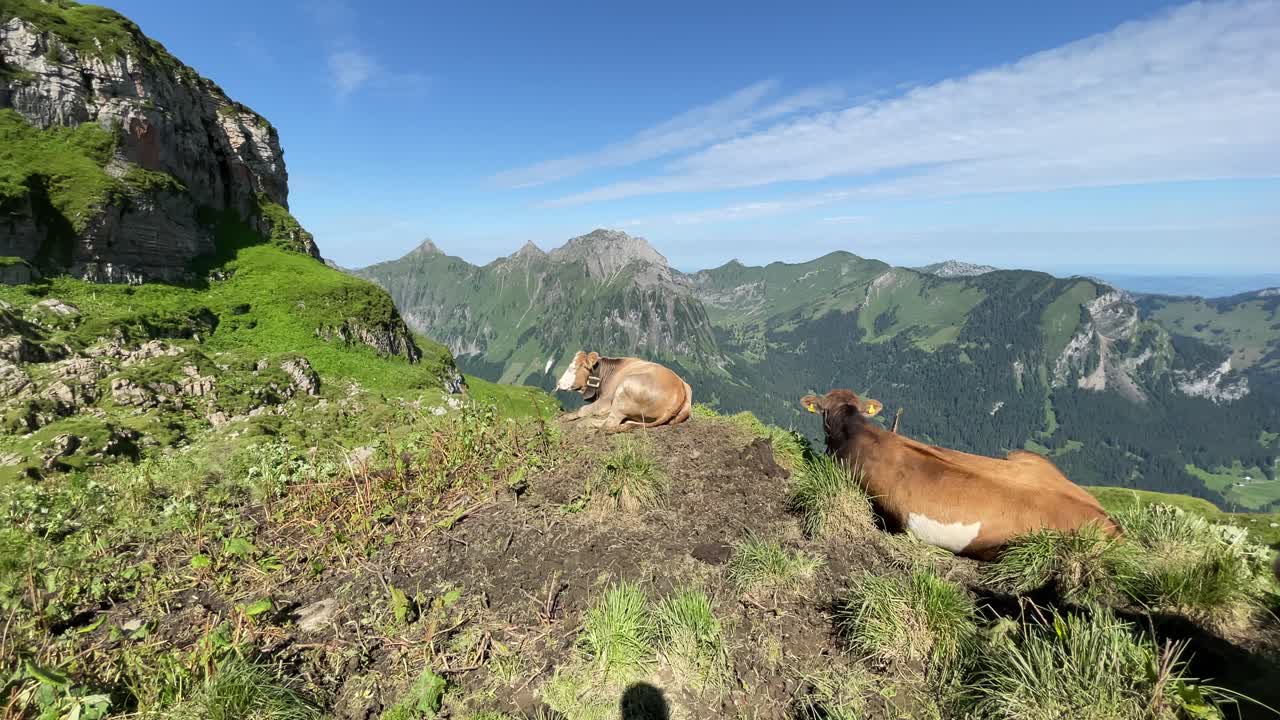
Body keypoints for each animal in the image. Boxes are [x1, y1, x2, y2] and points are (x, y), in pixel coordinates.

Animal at [555, 351, 692, 432]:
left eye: (572, 368)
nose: (558, 384)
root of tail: (679, 391)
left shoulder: (605, 400)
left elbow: (583, 409)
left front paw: (565, 417)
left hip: (625, 388)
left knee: (610, 423)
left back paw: (585, 424)